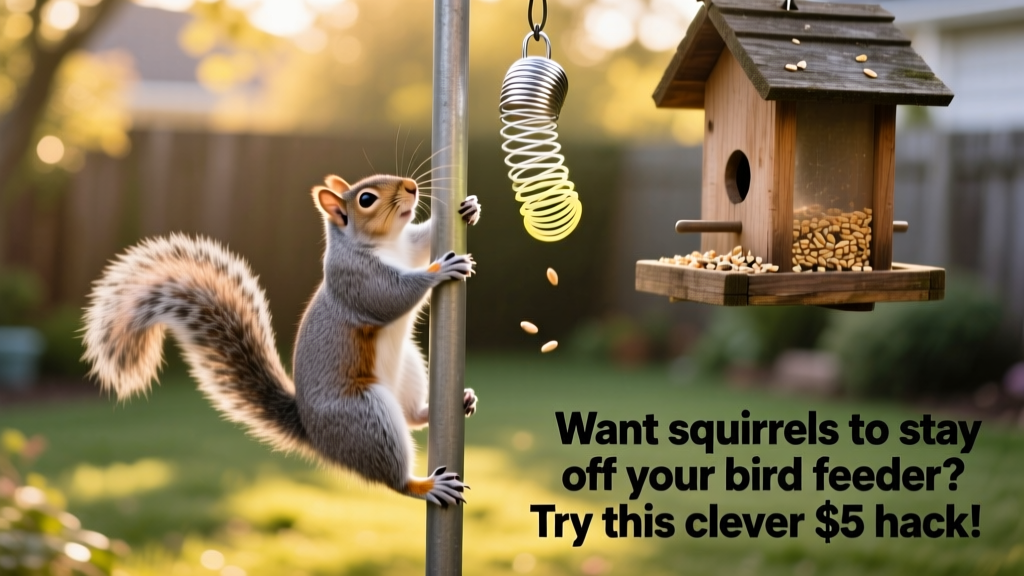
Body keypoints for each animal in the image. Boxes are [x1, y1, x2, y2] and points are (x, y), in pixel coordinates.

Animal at [82, 174, 481, 507]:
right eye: (366, 198)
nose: (412, 186)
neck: (385, 245)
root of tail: (315, 434)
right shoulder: (357, 281)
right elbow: (391, 295)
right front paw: (439, 269)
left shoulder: (406, 247)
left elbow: (420, 240)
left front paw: (470, 207)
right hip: (365, 417)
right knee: (393, 476)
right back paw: (427, 486)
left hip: (409, 370)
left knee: (411, 417)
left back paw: (450, 403)